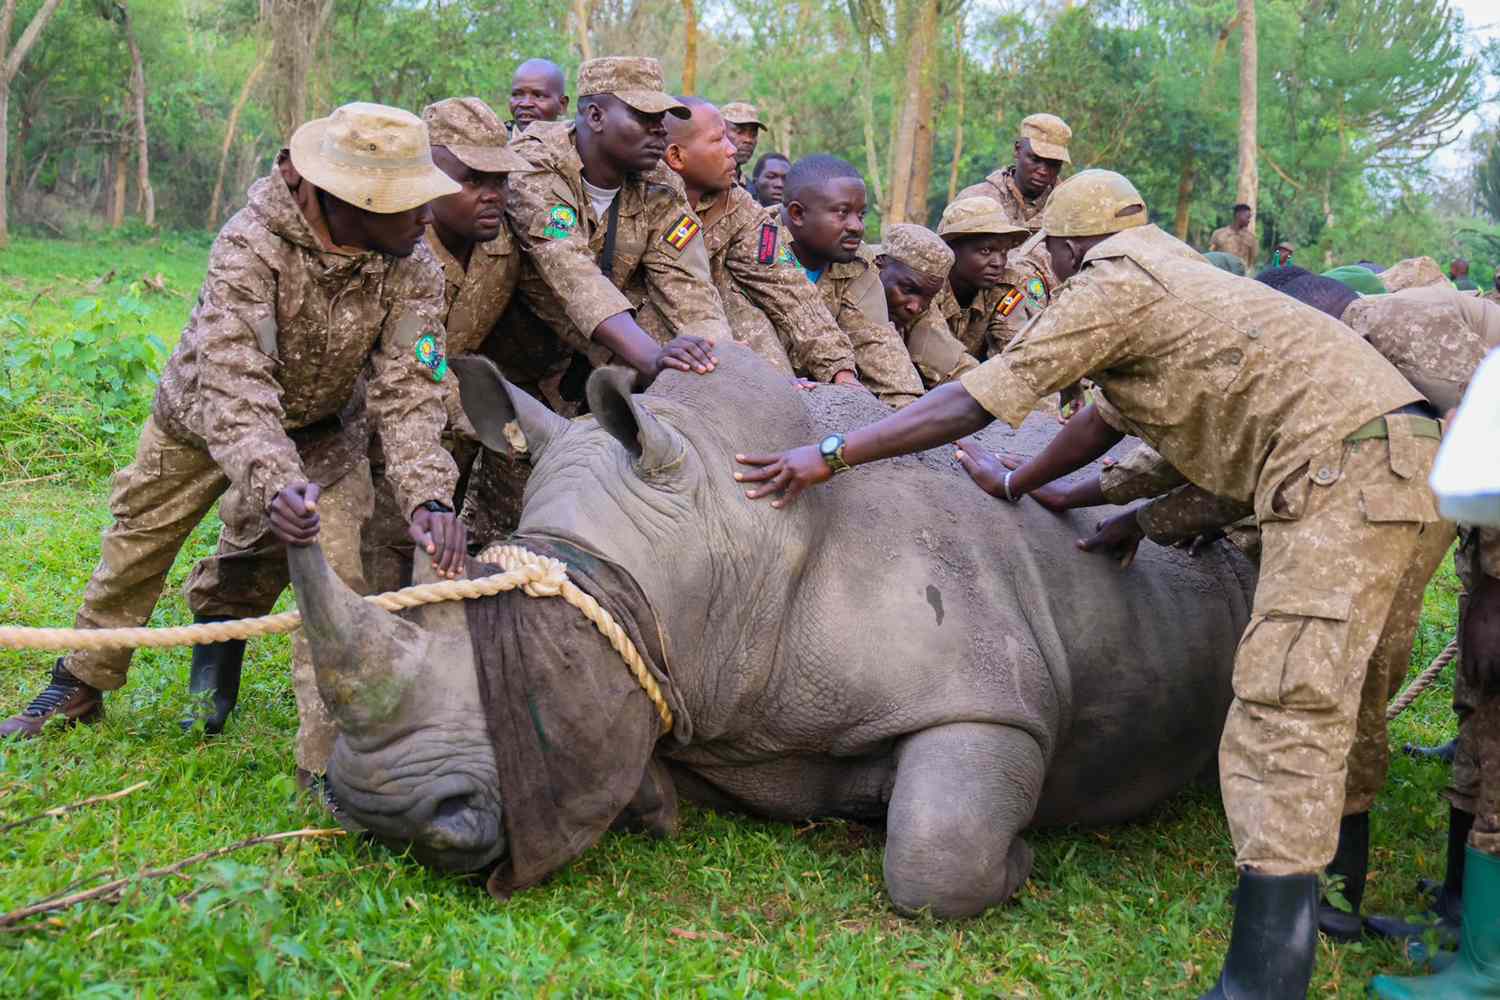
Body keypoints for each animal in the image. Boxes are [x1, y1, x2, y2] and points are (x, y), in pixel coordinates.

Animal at [288, 343, 1256, 917]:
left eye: (546, 659)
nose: (383, 817)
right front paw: (657, 802)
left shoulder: (991, 699)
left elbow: (934, 856)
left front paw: (1017, 865)